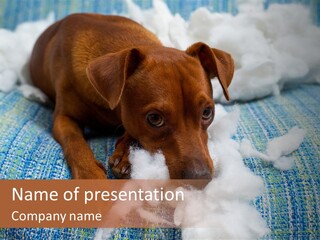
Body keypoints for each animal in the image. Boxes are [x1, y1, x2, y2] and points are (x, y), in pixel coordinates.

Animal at [29, 12, 235, 178]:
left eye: (207, 113)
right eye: (154, 119)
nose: (200, 177)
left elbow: (130, 130)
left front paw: (125, 154)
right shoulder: (63, 119)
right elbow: (75, 142)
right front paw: (90, 175)